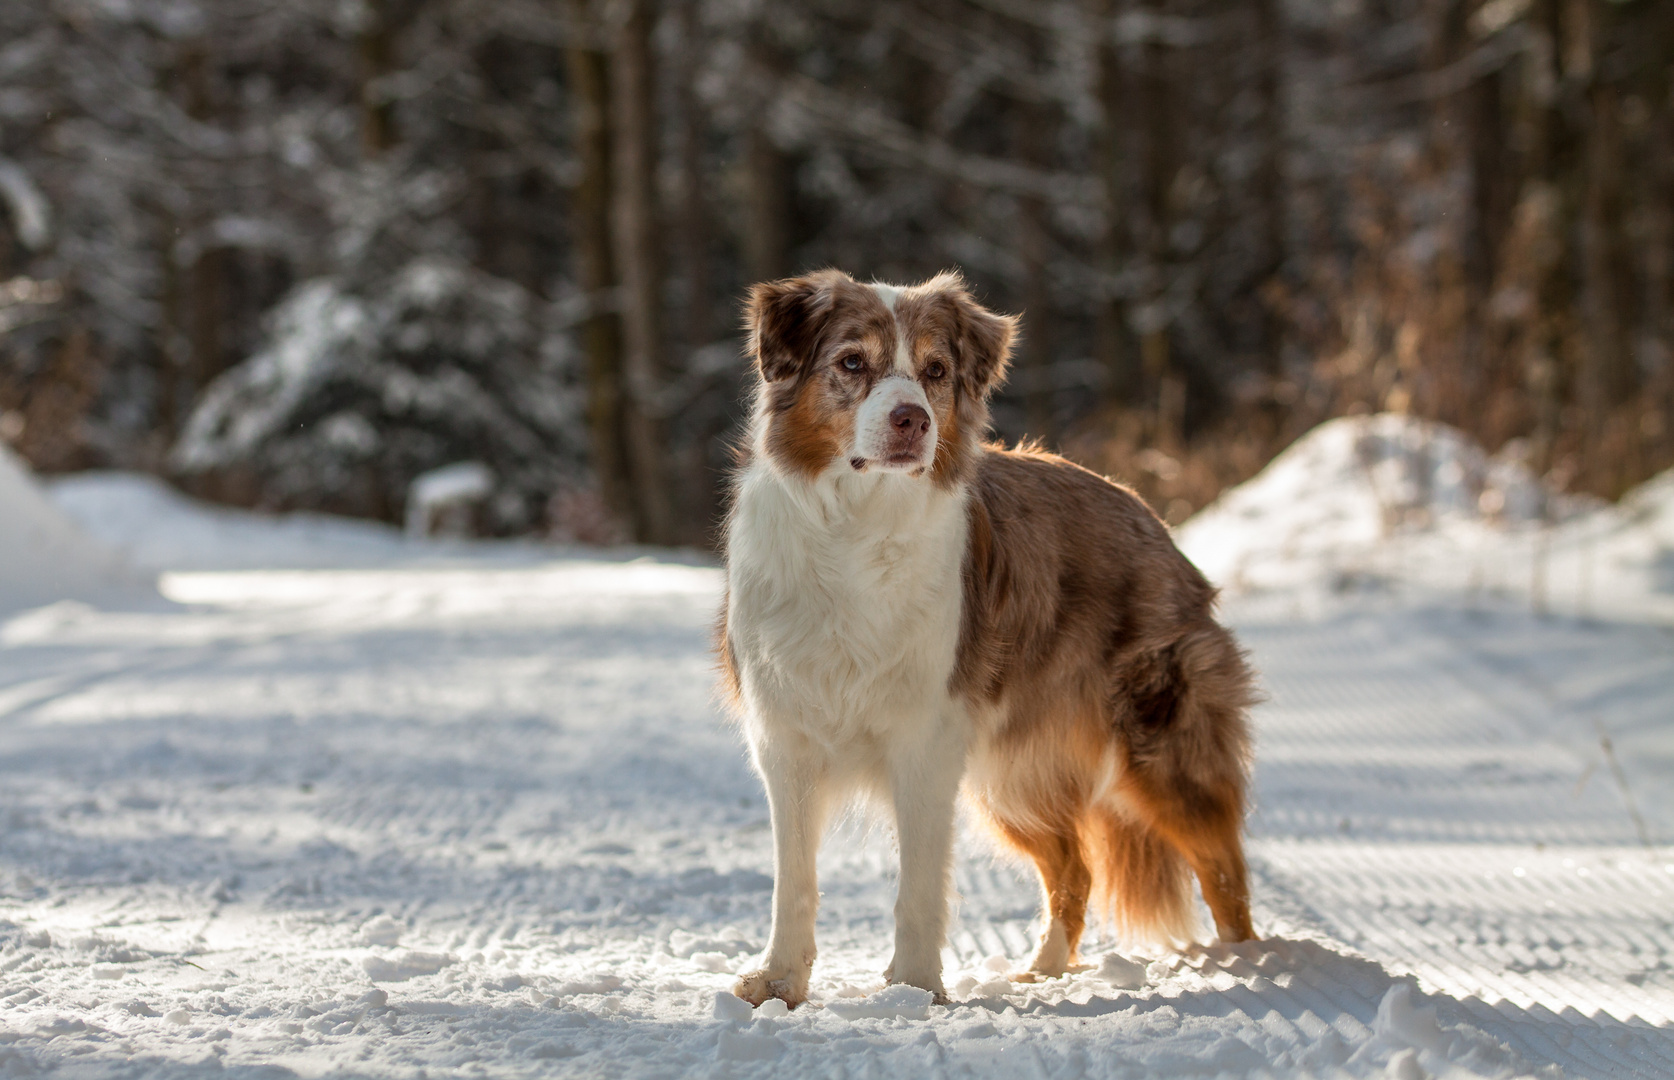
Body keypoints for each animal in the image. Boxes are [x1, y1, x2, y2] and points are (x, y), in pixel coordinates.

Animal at [713, 264, 1252, 1004]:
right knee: (1075, 868)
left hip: (1160, 745)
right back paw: (1042, 972)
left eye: (936, 372)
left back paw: (1255, 966)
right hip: (1009, 773)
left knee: (1224, 866)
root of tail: (1149, 514)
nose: (913, 419)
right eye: (851, 363)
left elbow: (918, 886)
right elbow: (793, 882)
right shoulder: (786, 738)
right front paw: (779, 983)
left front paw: (914, 992)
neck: (855, 527)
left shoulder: (925, 740)